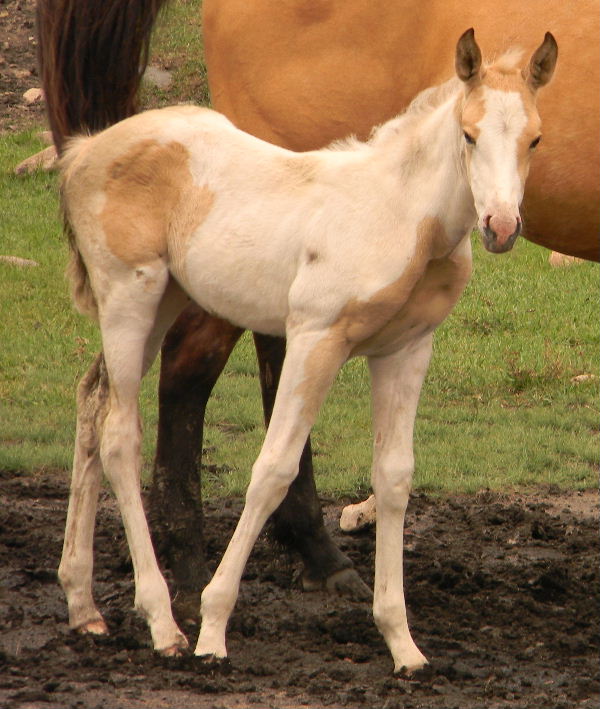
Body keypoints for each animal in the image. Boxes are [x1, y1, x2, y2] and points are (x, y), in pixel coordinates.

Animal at [57, 29, 557, 671]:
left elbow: (393, 477)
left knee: (92, 403)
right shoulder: (315, 338)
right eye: (469, 135)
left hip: (165, 300)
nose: (500, 226)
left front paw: (402, 643)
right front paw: (214, 629)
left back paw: (83, 606)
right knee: (120, 434)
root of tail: (84, 151)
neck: (400, 213)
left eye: (534, 138)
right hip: (129, 296)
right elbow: (273, 468)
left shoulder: (406, 350)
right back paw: (165, 624)